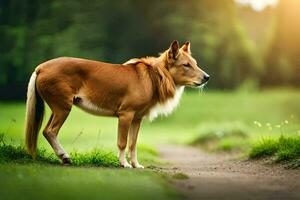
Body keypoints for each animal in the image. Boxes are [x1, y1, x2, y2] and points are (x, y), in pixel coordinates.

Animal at [24, 40, 210, 167]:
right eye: (186, 65)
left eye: (195, 64)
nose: (207, 77)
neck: (154, 76)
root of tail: (41, 67)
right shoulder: (125, 115)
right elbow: (122, 142)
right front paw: (124, 164)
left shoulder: (137, 119)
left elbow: (133, 144)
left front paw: (136, 165)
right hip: (63, 108)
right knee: (50, 131)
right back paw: (64, 156)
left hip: (58, 108)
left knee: (46, 131)